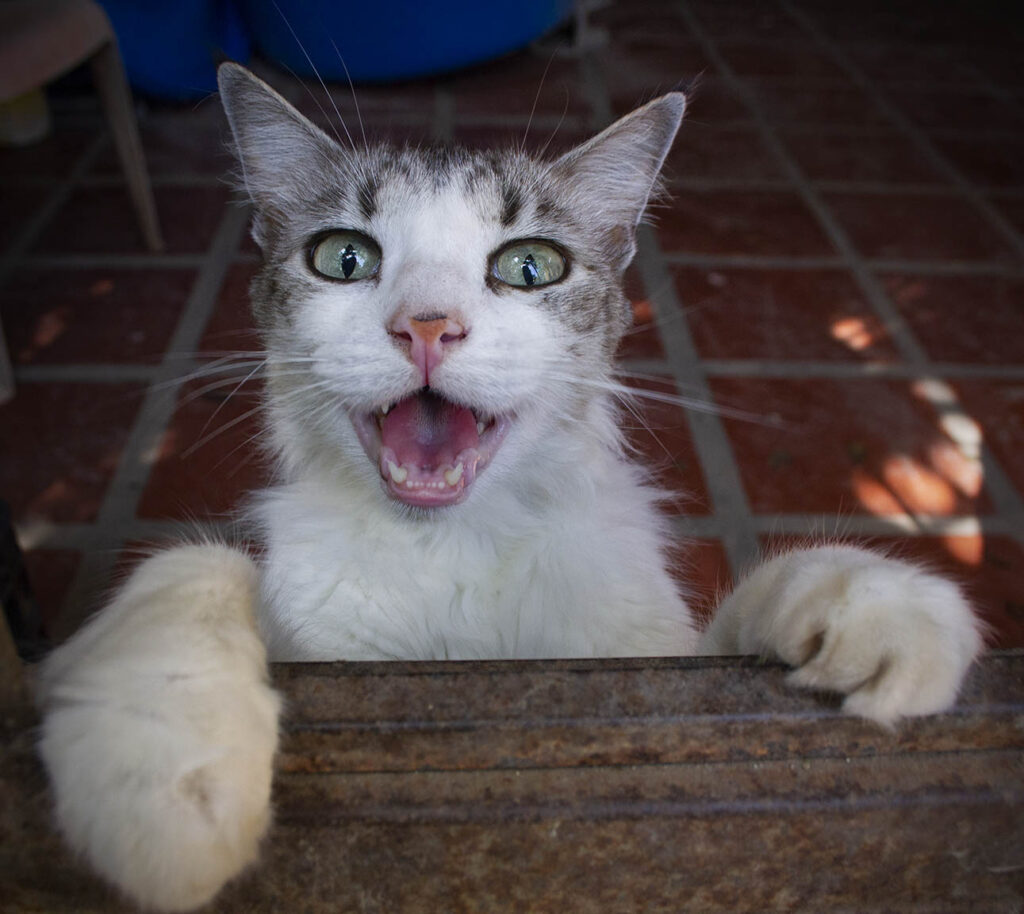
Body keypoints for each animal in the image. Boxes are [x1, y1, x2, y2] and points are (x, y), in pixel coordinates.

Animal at [34, 60, 983, 908]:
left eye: (530, 267)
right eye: (342, 257)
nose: (427, 327)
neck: (455, 549)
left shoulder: (646, 654)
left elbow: (726, 635)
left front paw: (868, 601)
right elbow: (196, 563)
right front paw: (163, 765)